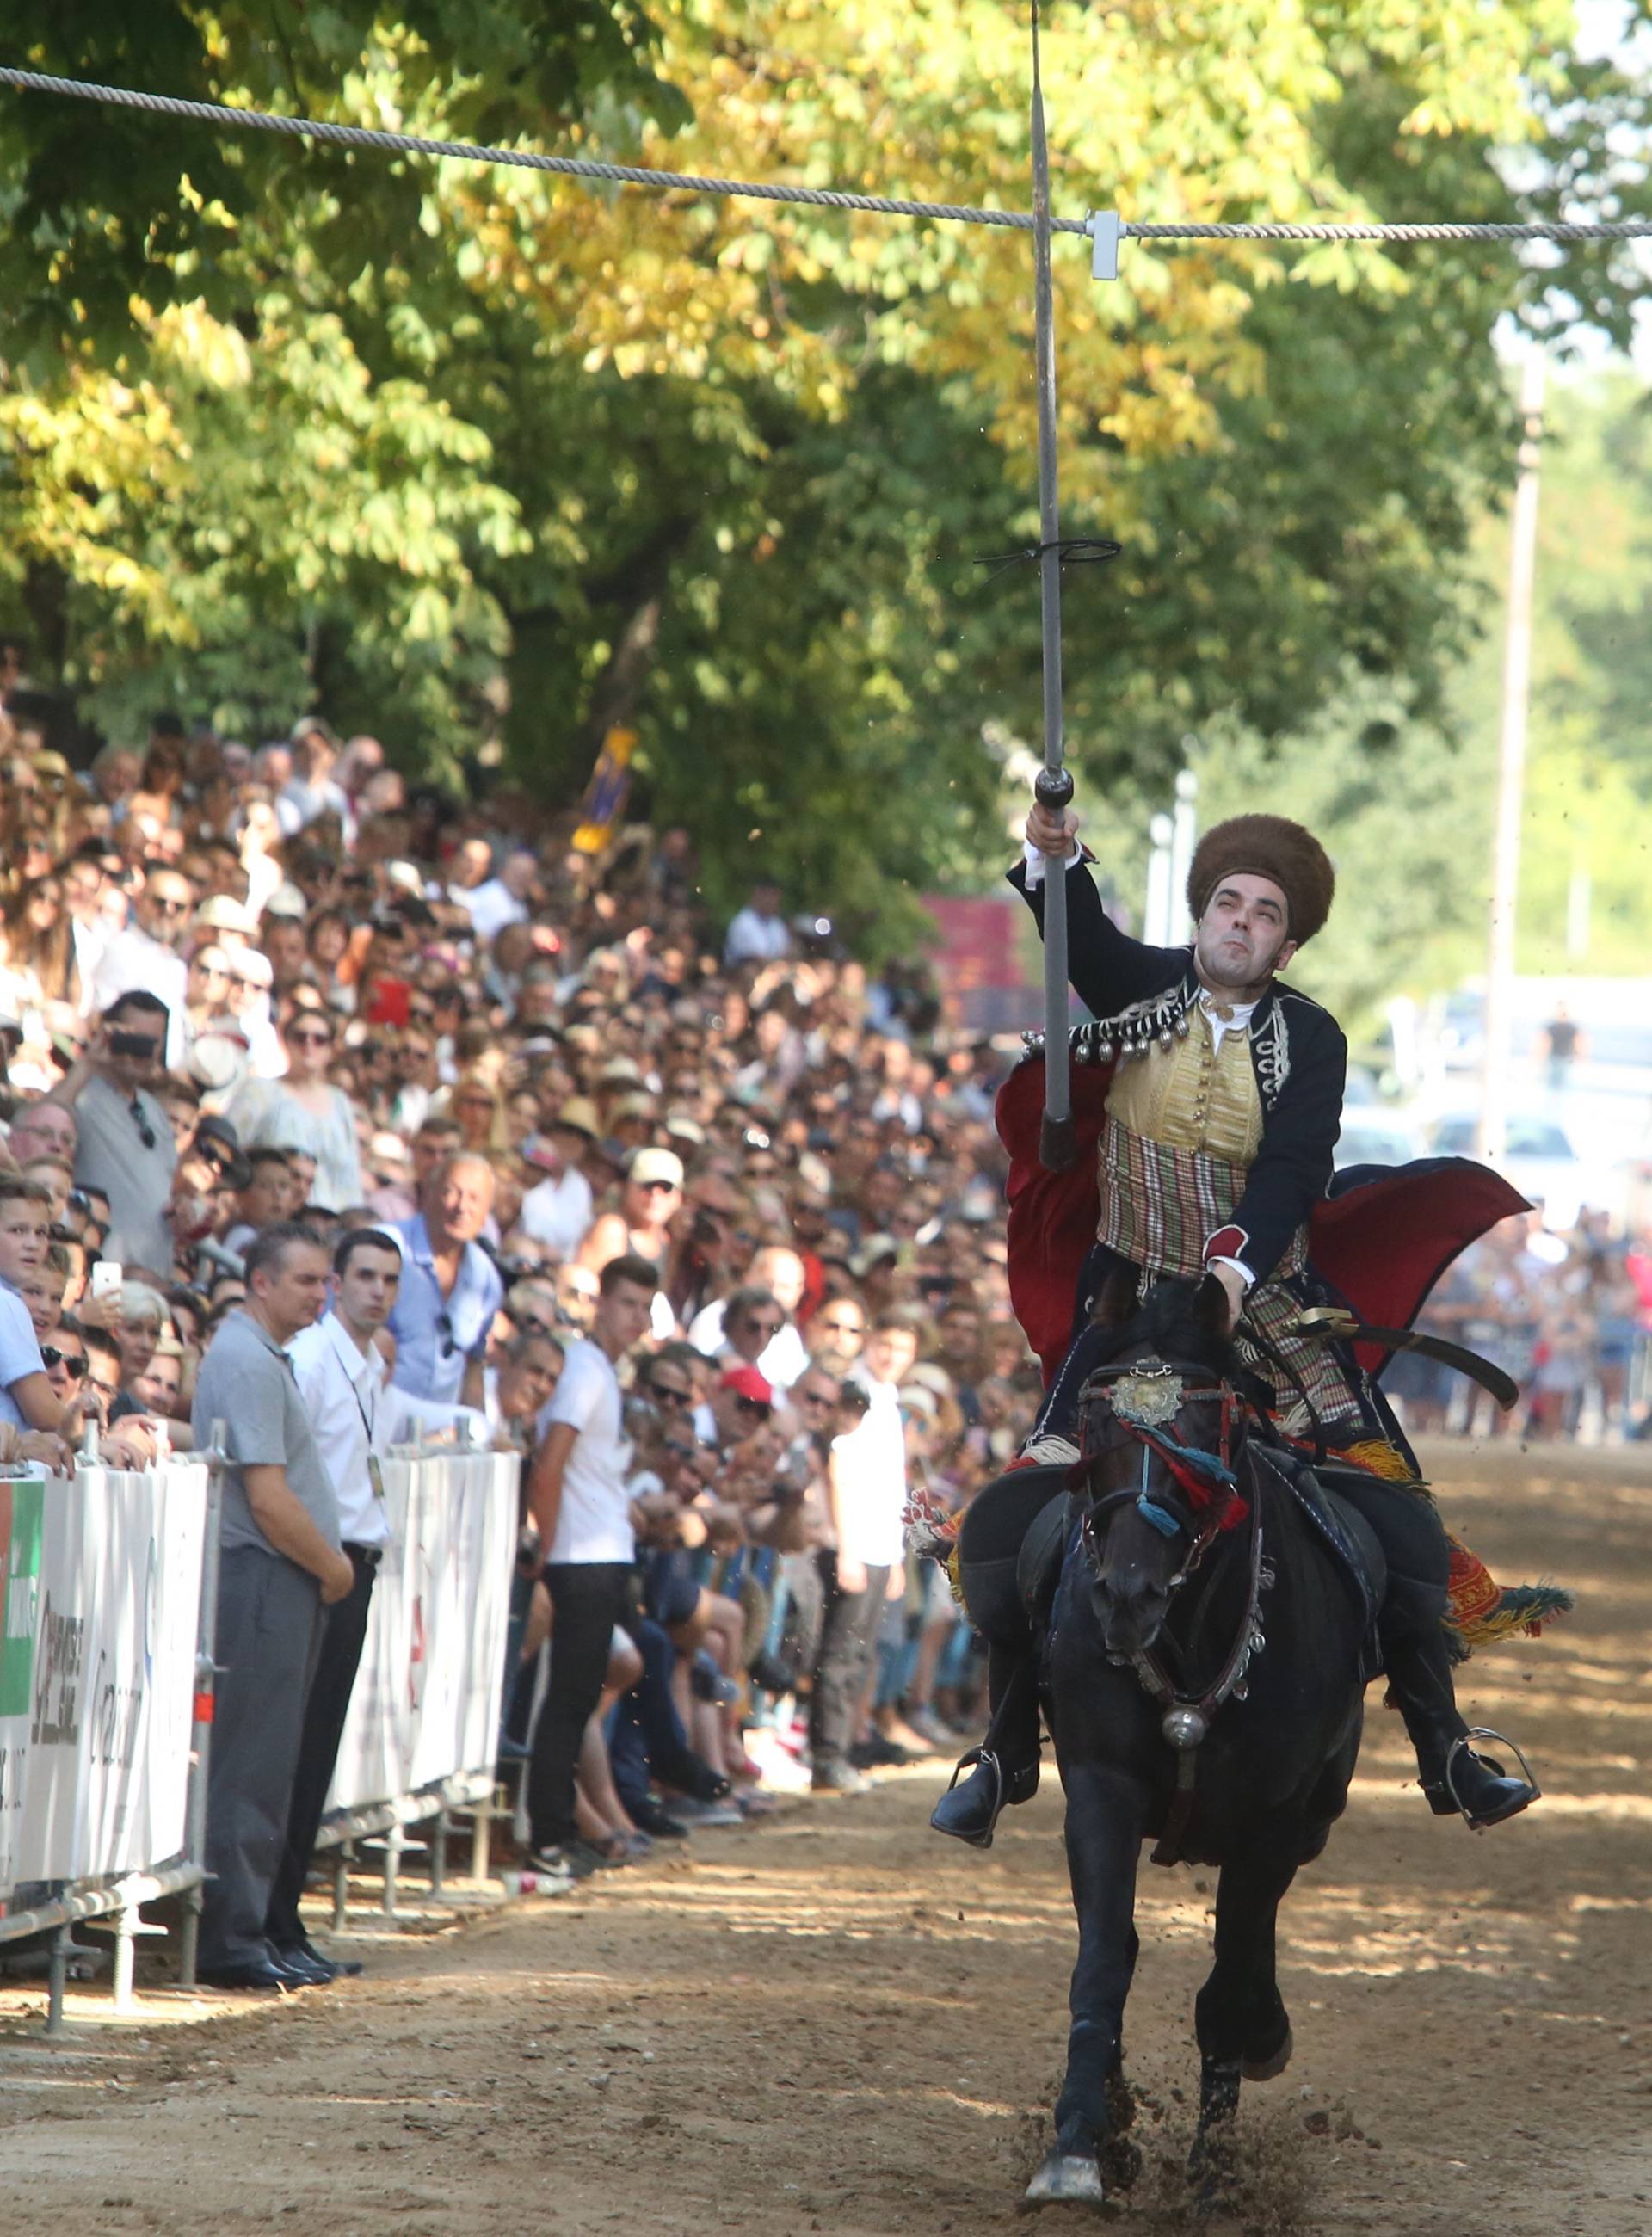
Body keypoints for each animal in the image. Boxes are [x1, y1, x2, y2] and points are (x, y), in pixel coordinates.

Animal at [1016, 1279, 1378, 2201]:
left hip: (1312, 1815)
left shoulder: (1274, 1822)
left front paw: (1212, 2173)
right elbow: (1104, 1959)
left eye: (1204, 1433)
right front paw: (1082, 2146)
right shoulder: (1100, 1789)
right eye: (1095, 1425)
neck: (1191, 1638)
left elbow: (1226, 1982)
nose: (1126, 1597)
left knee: (1248, 1949)